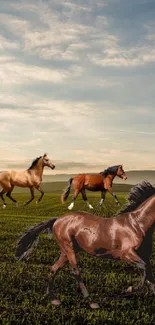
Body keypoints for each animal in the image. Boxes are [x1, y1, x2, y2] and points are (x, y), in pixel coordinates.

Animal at [15, 181, 155, 308]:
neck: (137, 225)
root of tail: (57, 220)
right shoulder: (126, 254)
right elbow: (144, 268)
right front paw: (130, 289)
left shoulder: (145, 255)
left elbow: (149, 273)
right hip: (69, 248)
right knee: (75, 272)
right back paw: (91, 302)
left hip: (66, 252)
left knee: (54, 269)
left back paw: (54, 299)